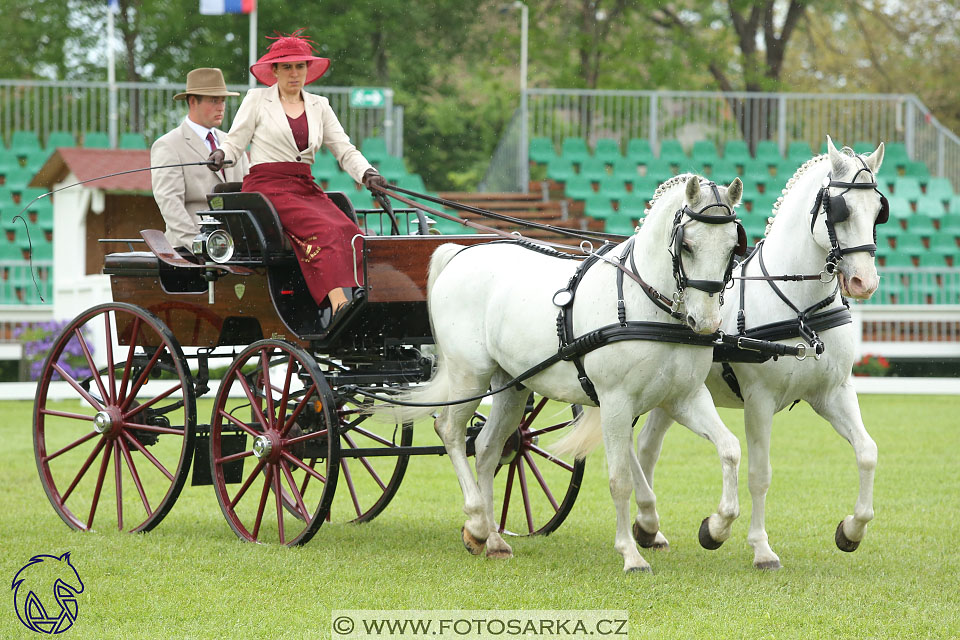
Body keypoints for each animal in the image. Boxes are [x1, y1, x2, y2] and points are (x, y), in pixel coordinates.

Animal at [386, 172, 748, 572]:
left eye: (732, 248)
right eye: (687, 246)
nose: (706, 322)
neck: (644, 304)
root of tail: (461, 254)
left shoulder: (684, 398)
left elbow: (729, 449)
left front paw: (715, 528)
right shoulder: (616, 401)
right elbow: (620, 478)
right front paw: (630, 553)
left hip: (510, 387)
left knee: (487, 448)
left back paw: (493, 538)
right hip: (470, 375)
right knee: (450, 430)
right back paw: (477, 521)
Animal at [636, 136, 884, 568]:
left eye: (877, 210)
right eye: (841, 209)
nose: (863, 282)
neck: (800, 310)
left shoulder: (833, 393)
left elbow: (867, 452)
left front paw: (851, 530)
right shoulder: (760, 400)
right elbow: (760, 473)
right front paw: (757, 546)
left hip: (671, 395)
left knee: (647, 450)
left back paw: (649, 531)